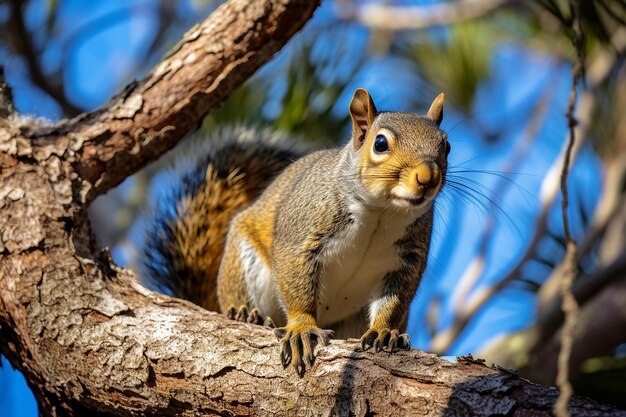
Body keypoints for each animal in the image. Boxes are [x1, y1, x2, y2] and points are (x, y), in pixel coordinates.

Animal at [140, 88, 448, 374]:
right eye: (381, 143)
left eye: (445, 145)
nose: (427, 178)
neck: (380, 213)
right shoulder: (301, 235)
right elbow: (295, 281)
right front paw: (301, 328)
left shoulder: (406, 260)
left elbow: (394, 301)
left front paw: (385, 331)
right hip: (243, 262)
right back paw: (243, 314)